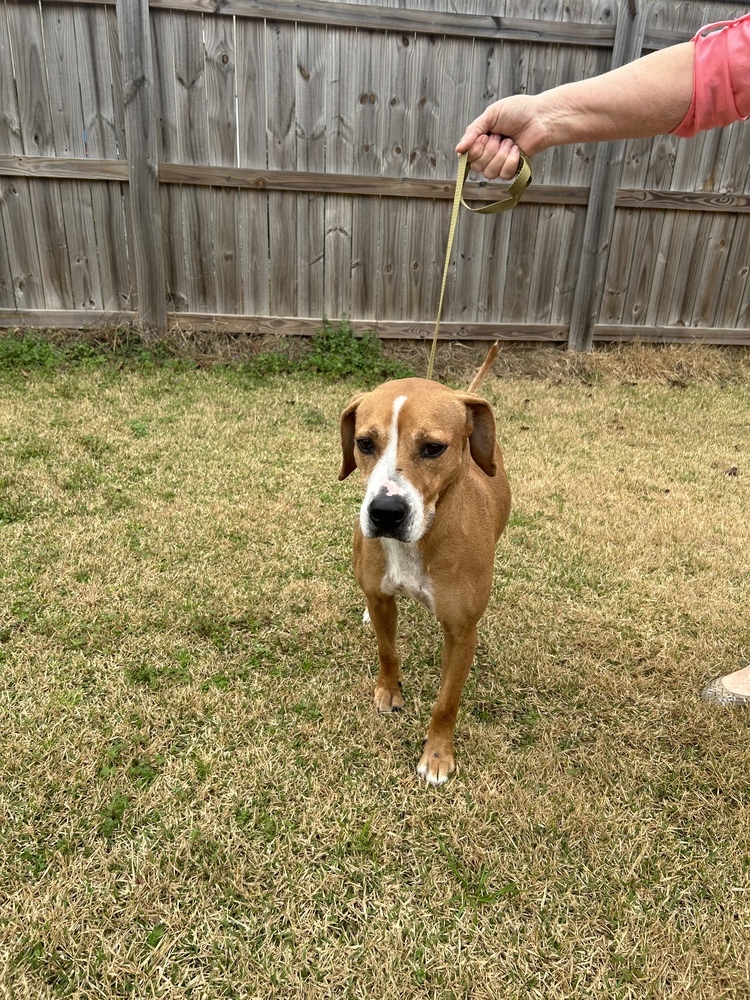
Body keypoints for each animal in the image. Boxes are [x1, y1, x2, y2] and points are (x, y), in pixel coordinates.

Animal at [340, 348, 512, 784]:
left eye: (433, 448)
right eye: (364, 443)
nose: (385, 512)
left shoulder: (462, 633)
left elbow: (446, 702)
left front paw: (437, 755)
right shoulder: (382, 599)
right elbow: (387, 651)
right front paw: (389, 691)